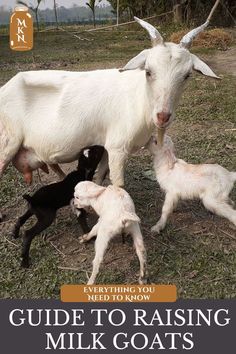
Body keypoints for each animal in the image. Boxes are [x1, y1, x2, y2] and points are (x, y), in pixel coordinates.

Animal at [0, 18, 218, 220]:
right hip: (7, 143)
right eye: (148, 71)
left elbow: (99, 177)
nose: (163, 116)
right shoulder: (118, 148)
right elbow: (119, 184)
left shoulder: (106, 146)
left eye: (187, 75)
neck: (139, 98)